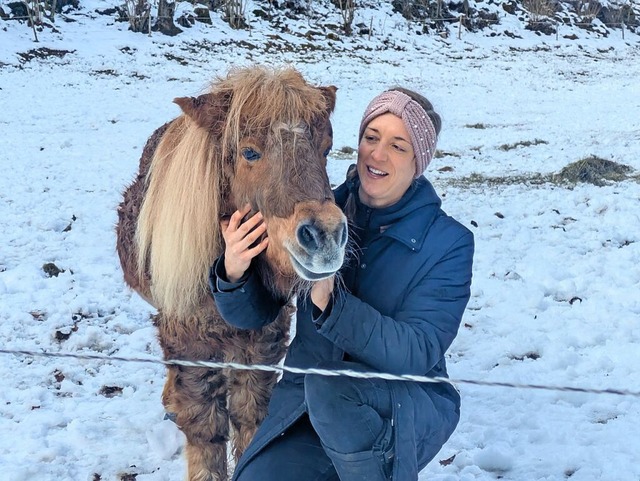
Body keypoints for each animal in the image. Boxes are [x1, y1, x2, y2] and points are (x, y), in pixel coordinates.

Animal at [115, 66, 344, 480]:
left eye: (326, 148)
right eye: (249, 152)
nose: (326, 237)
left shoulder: (260, 339)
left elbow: (250, 415)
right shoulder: (190, 342)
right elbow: (205, 431)